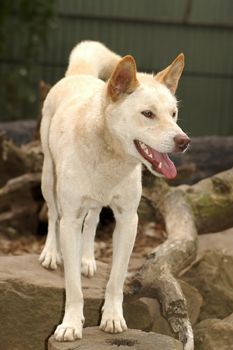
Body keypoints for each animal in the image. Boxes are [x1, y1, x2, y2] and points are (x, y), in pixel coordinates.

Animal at [39, 41, 190, 342]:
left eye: (173, 114)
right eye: (148, 114)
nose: (184, 141)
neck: (110, 155)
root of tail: (80, 75)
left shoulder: (128, 220)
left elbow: (116, 280)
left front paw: (112, 318)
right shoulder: (70, 218)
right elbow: (72, 286)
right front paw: (70, 325)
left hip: (96, 203)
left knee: (93, 221)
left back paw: (86, 259)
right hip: (49, 178)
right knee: (52, 216)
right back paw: (51, 253)